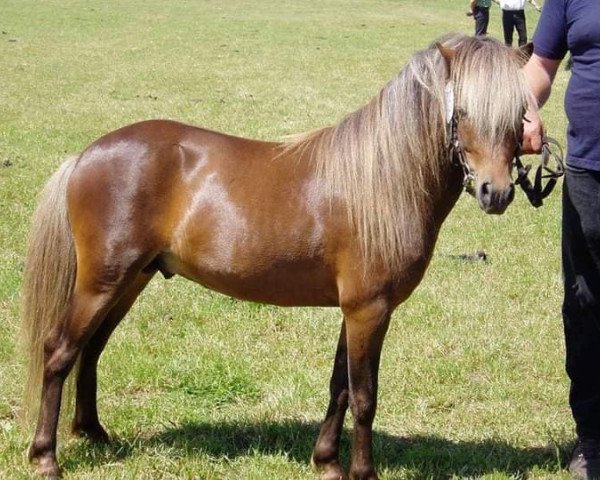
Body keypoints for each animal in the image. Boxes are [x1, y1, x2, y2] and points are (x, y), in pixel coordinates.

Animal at [22, 34, 528, 480]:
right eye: (463, 112)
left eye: (520, 114)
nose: (496, 192)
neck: (382, 178)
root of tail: (86, 155)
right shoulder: (369, 310)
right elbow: (364, 396)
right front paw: (363, 471)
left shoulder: (353, 310)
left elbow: (339, 387)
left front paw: (327, 462)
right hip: (102, 282)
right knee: (60, 351)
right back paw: (45, 457)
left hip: (131, 279)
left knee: (92, 348)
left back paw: (94, 433)